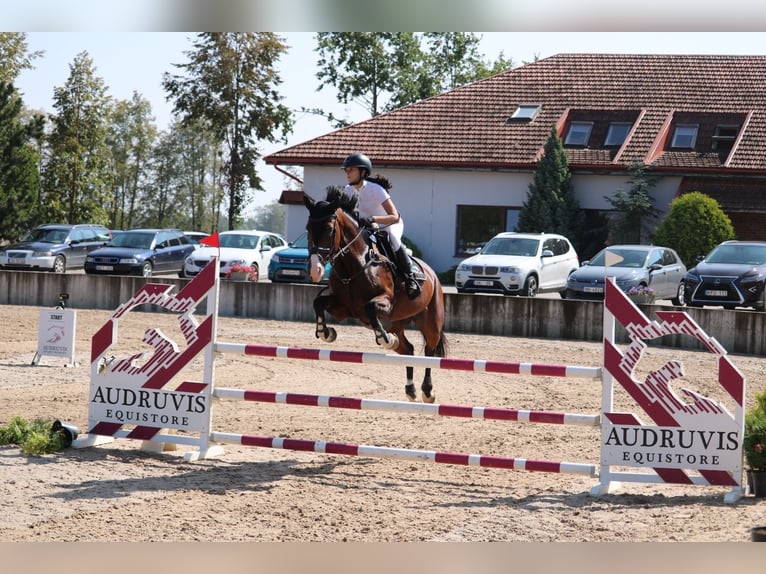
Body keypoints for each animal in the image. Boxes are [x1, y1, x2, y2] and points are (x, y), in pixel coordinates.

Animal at [304, 189, 450, 404]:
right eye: (308, 228)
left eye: (330, 230)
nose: (315, 271)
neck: (355, 263)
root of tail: (432, 274)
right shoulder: (343, 307)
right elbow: (318, 302)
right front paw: (326, 332)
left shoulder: (385, 301)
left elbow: (371, 307)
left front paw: (385, 339)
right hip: (396, 324)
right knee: (408, 350)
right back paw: (410, 389)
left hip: (431, 322)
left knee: (429, 352)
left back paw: (427, 391)